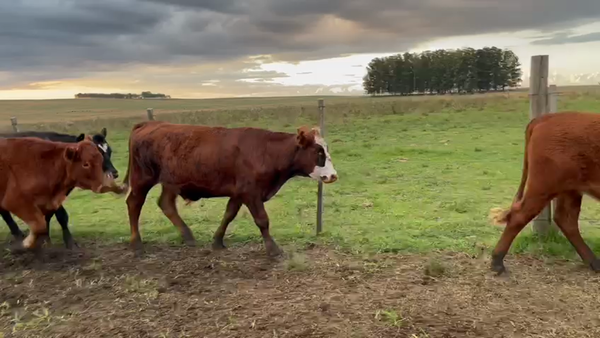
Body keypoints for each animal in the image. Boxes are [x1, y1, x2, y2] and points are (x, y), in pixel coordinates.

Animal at [121, 120, 338, 255]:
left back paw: (188, 236)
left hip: (170, 182)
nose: (333, 175)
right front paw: (273, 249)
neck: (266, 151)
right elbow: (262, 220)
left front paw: (217, 241)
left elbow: (229, 214)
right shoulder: (251, 193)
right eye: (318, 152)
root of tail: (149, 123)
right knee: (134, 203)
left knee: (166, 204)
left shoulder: (239, 193)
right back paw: (136, 244)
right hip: (143, 178)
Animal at [492, 111, 600, 274]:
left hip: (570, 189)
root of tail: (546, 118)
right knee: (519, 216)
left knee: (566, 220)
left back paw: (593, 262)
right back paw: (497, 262)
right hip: (543, 186)